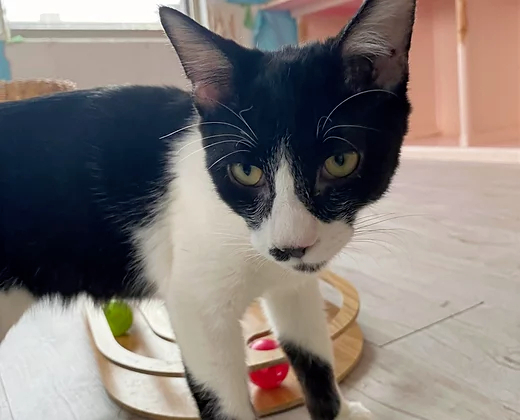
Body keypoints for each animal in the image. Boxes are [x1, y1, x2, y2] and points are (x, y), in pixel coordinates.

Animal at [0, 0, 416, 418]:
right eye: (245, 171)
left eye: (341, 161)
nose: (290, 248)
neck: (240, 232)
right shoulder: (196, 306)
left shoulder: (292, 283)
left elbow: (311, 350)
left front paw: (337, 410)